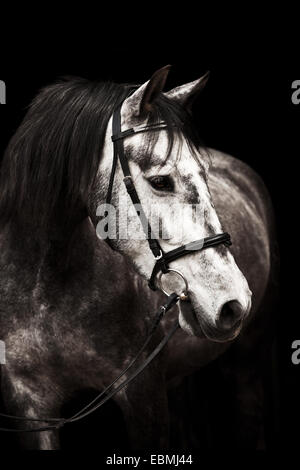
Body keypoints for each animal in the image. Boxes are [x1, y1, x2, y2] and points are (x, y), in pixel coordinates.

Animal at [0, 65, 278, 448]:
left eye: (204, 174)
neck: (45, 287)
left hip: (248, 360)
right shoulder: (30, 408)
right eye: (161, 181)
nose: (235, 303)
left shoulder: (142, 394)